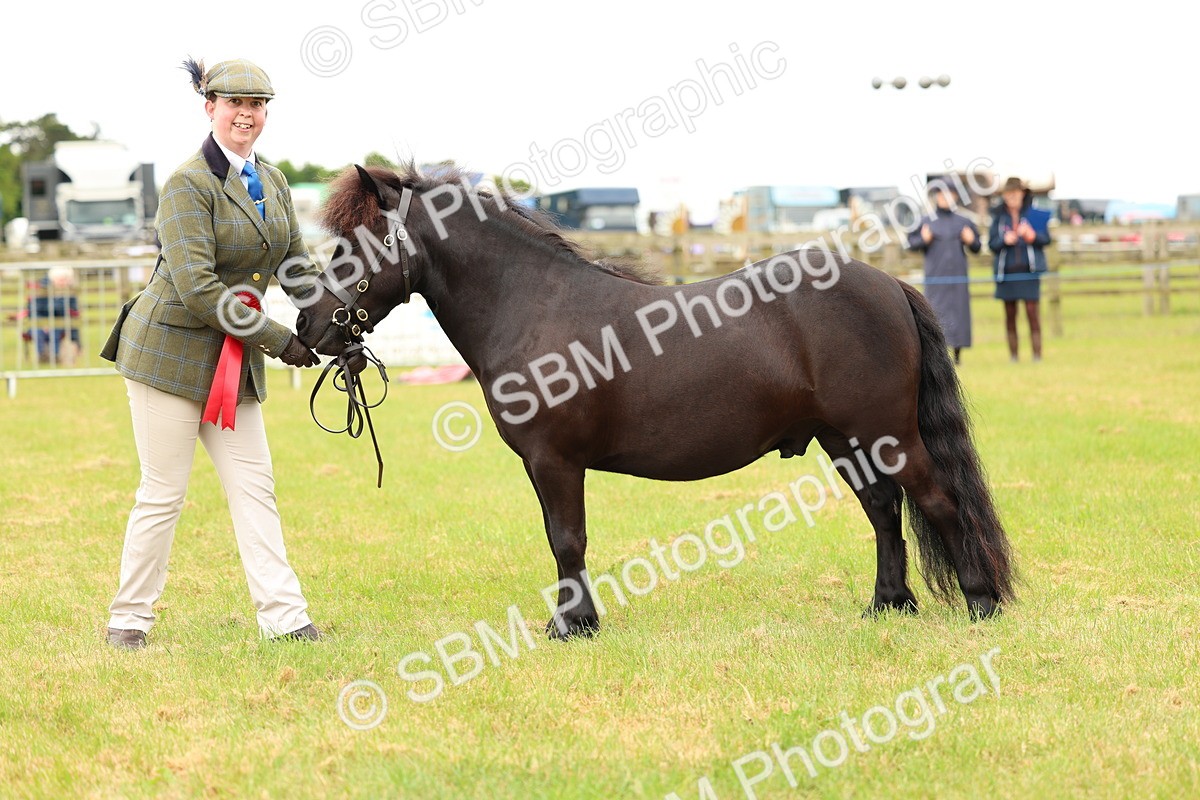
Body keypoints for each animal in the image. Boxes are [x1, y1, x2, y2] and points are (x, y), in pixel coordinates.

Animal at [295, 164, 1015, 638]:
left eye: (353, 244)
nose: (309, 326)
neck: (533, 305)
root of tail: (890, 284)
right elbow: (563, 540)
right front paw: (576, 621)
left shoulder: (555, 461)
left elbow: (567, 539)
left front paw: (572, 626)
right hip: (847, 441)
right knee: (884, 510)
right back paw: (886, 604)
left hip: (887, 434)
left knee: (937, 502)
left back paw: (980, 605)